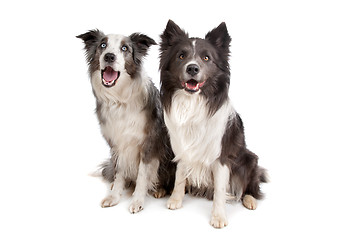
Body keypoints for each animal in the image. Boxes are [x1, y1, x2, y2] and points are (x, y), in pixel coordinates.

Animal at [77, 29, 176, 214]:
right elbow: (119, 172)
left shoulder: (148, 144)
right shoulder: (117, 144)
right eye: (103, 45)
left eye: (124, 48)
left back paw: (159, 190)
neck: (119, 99)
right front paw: (114, 196)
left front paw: (137, 201)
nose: (109, 56)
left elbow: (143, 176)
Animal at [160, 20, 268, 227]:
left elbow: (219, 189)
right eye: (181, 56)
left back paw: (250, 199)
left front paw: (218, 216)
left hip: (249, 159)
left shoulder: (222, 157)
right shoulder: (182, 148)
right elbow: (179, 177)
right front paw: (175, 200)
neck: (193, 103)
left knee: (250, 185)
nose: (192, 68)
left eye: (206, 58)